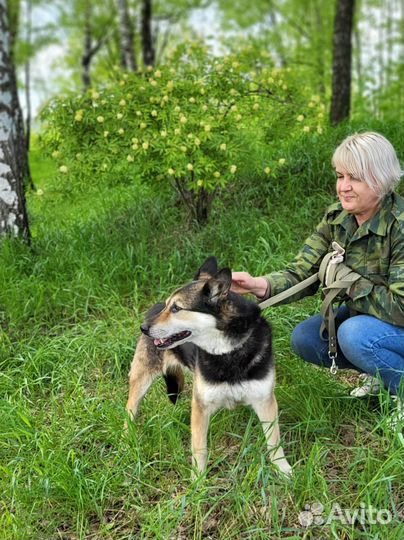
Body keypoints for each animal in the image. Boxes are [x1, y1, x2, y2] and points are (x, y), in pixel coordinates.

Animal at [124, 255, 292, 474]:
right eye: (168, 306)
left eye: (176, 308)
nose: (143, 327)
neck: (227, 351)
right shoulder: (200, 405)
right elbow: (199, 447)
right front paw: (198, 479)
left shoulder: (265, 400)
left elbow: (274, 440)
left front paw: (283, 469)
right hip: (141, 379)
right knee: (130, 409)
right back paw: (127, 439)